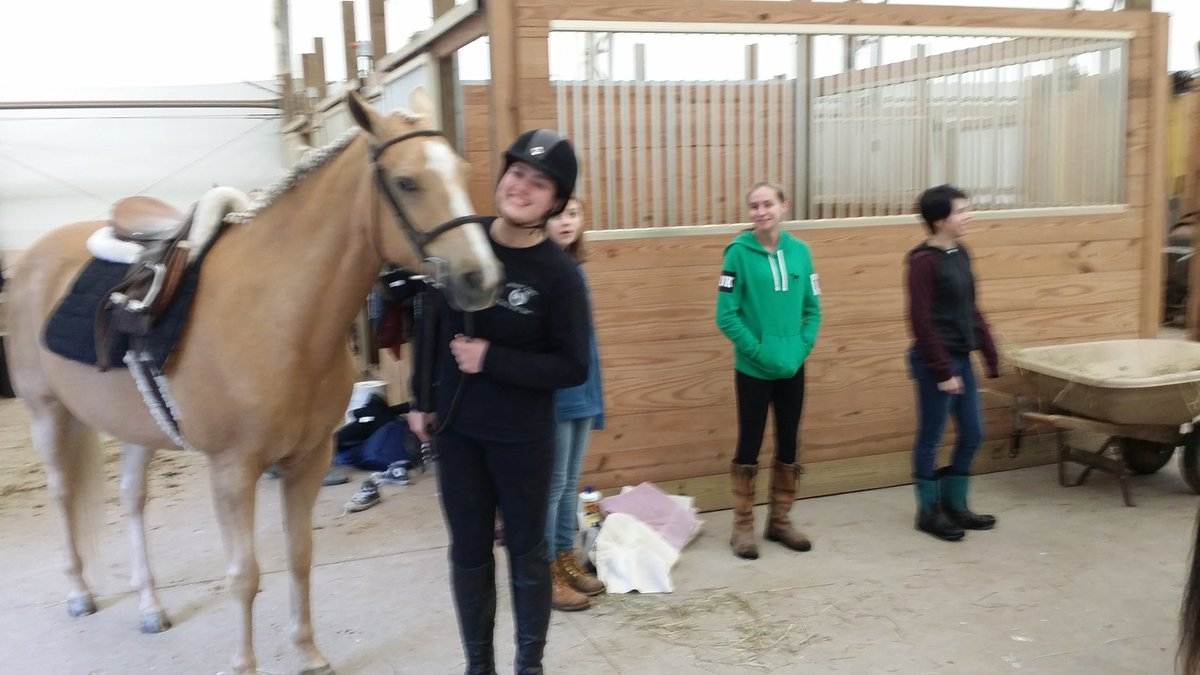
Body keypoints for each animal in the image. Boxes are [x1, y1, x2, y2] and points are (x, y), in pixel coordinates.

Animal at [4, 90, 503, 675]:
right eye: (406, 182)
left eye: (461, 171)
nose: (483, 279)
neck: (279, 314)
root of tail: (31, 259)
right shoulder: (233, 470)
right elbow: (244, 576)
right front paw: (244, 664)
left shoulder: (308, 459)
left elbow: (299, 556)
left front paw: (308, 652)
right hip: (47, 413)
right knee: (62, 493)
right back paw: (79, 594)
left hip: (135, 429)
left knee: (131, 501)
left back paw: (150, 606)